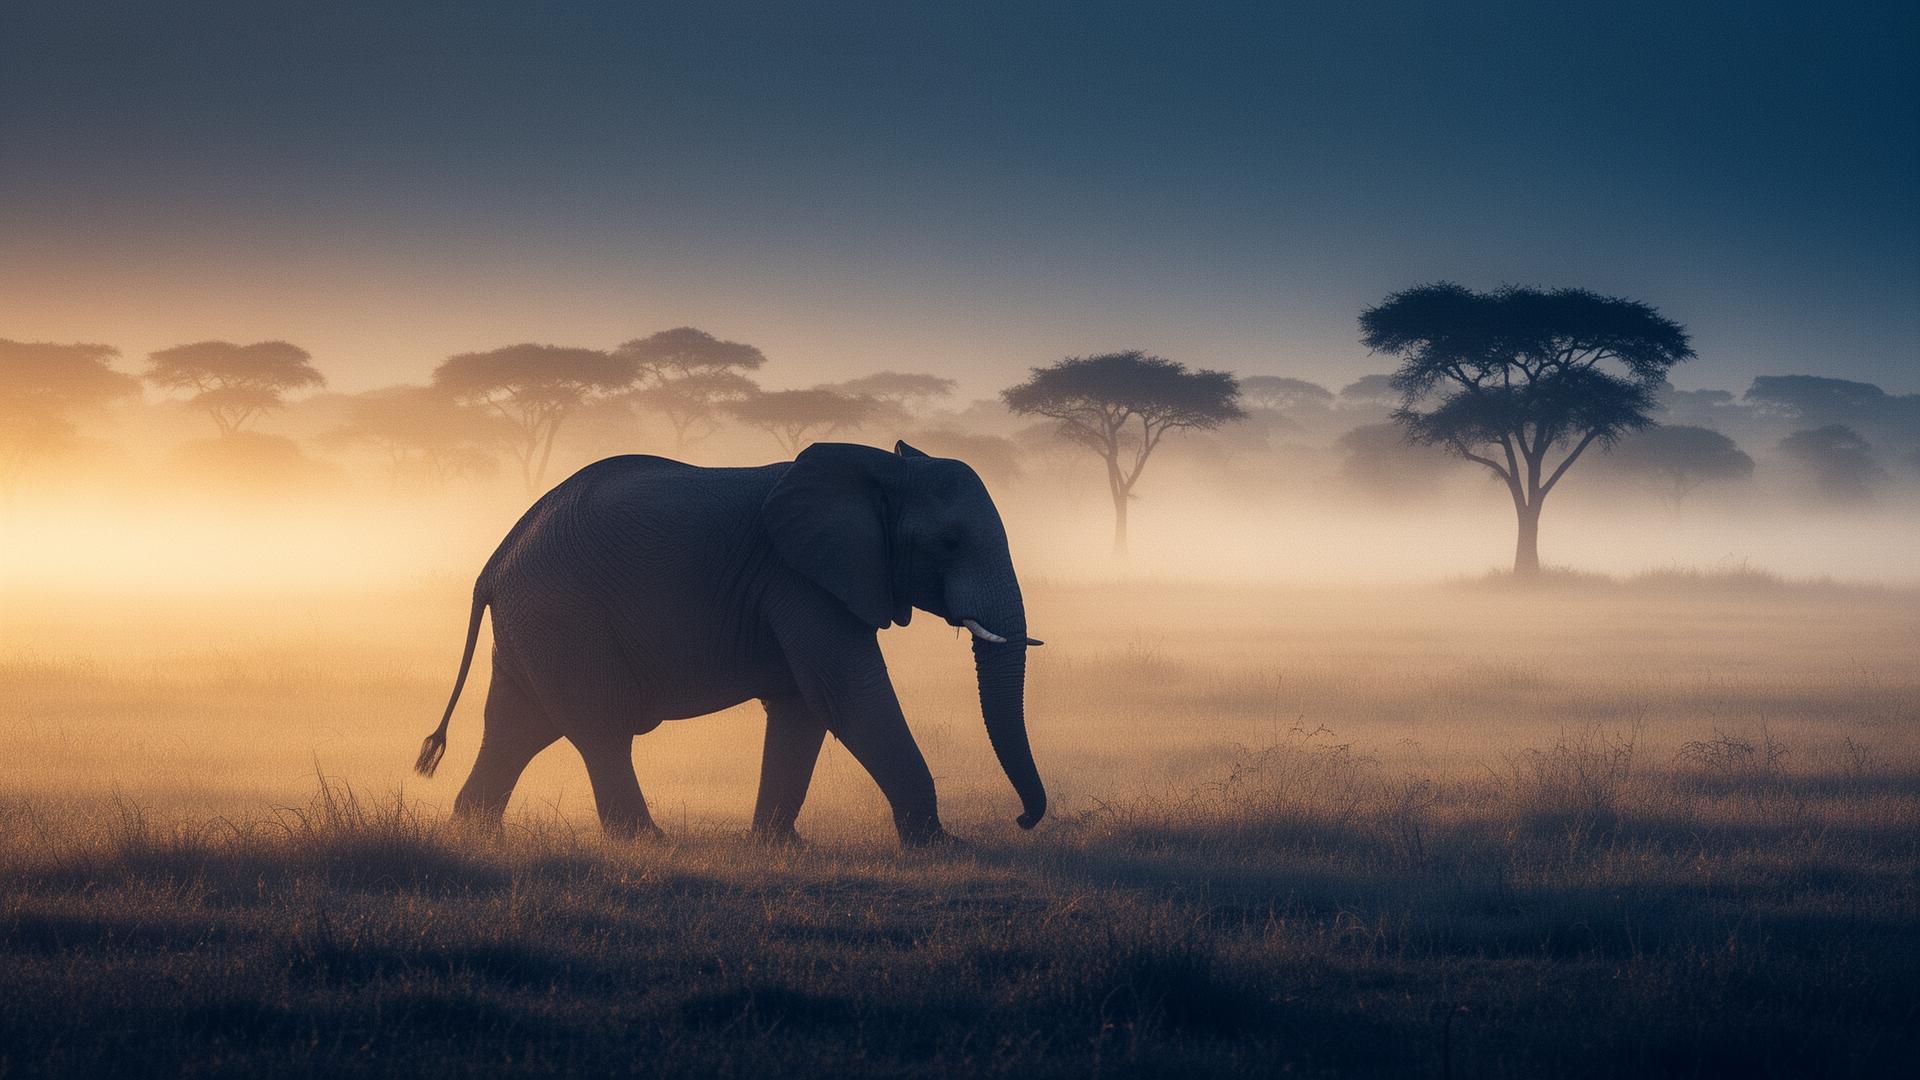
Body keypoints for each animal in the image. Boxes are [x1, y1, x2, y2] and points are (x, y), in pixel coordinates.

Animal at [412, 440, 1045, 847]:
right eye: (949, 542)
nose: (1022, 821)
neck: (878, 467)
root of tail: (495, 562)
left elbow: (801, 707)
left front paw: (779, 849)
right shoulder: (799, 578)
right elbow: (849, 695)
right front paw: (943, 848)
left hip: (536, 626)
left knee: (516, 728)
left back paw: (473, 835)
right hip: (563, 617)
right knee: (599, 729)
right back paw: (651, 844)